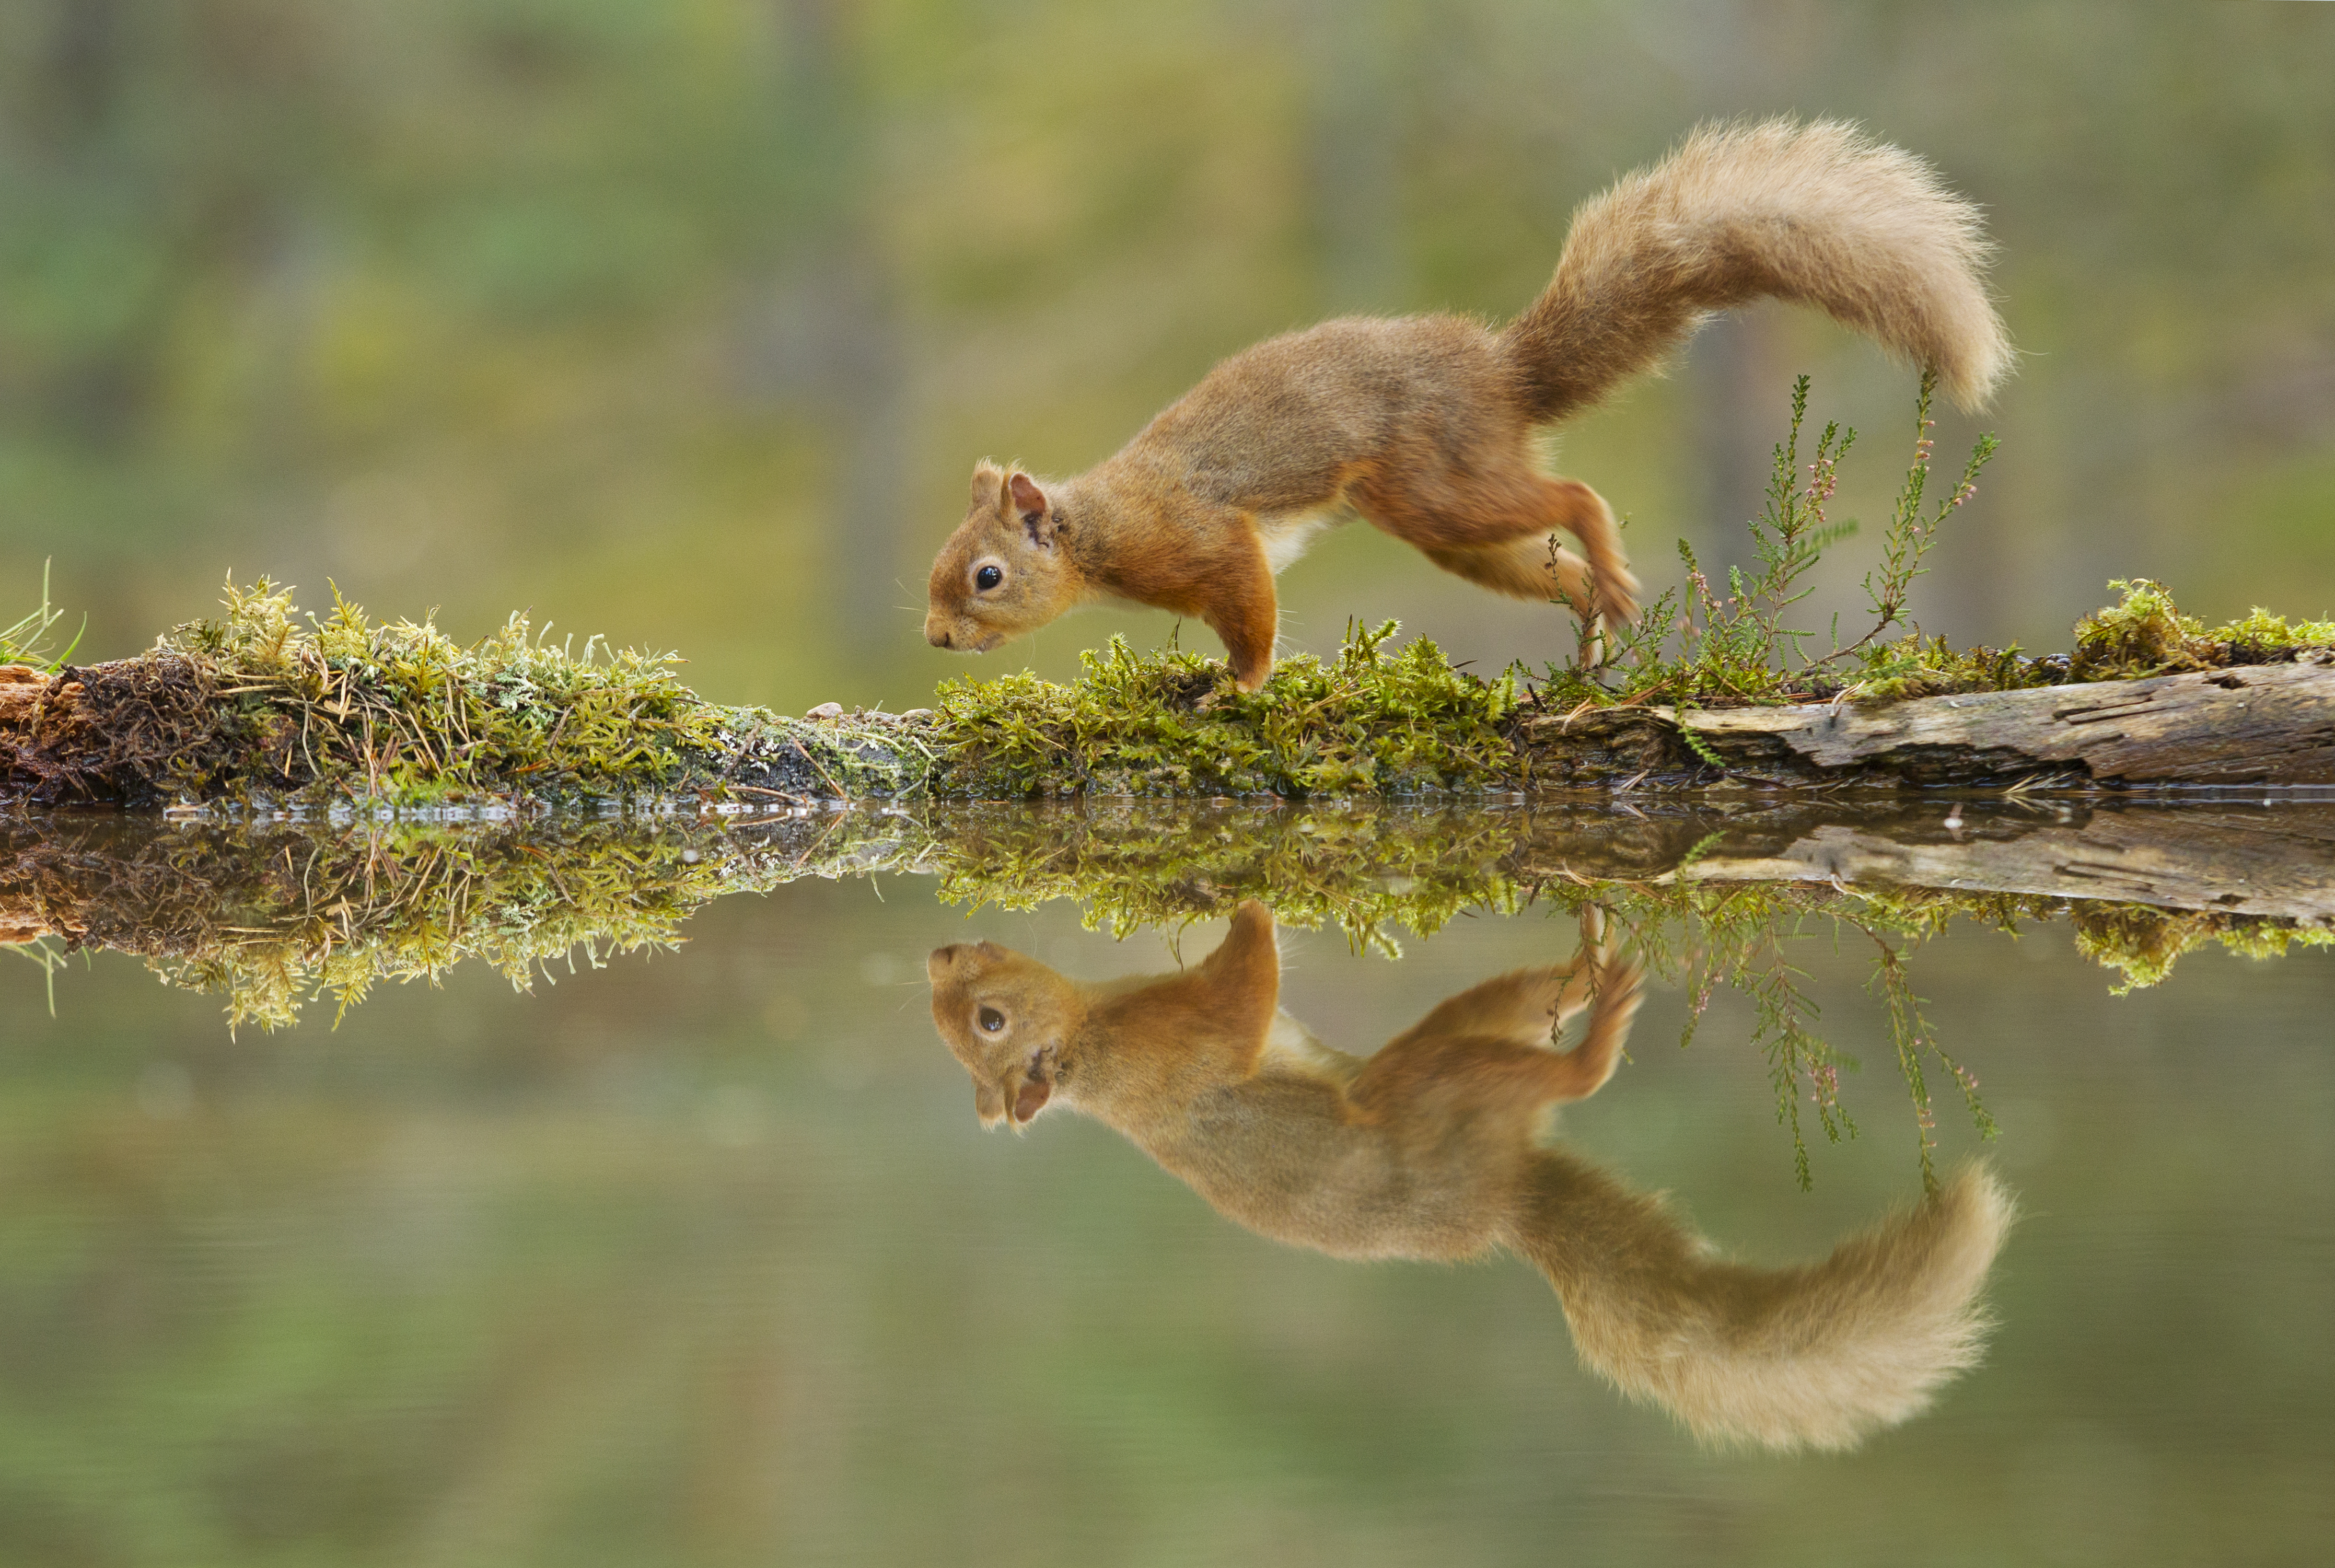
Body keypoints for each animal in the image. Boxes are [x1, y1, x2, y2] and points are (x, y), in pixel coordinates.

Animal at [925, 119, 2011, 691]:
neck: (1098, 529)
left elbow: (1251, 618)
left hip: (1434, 487)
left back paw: (1605, 570)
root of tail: (1498, 373)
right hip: (1450, 530)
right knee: (1556, 567)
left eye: (984, 576)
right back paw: (1591, 630)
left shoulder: (1206, 540)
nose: (933, 639)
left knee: (1574, 496)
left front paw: (1233, 686)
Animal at [928, 901, 2014, 1451]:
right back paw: (1603, 1018)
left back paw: (1582, 971)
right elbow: (1243, 991)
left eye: (980, 1020)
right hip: (1434, 1086)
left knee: (1531, 1005)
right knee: (1563, 1074)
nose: (939, 951)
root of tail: (1504, 1208)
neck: (1096, 1046)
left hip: (1456, 1043)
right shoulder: (1186, 1044)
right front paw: (1244, 893)